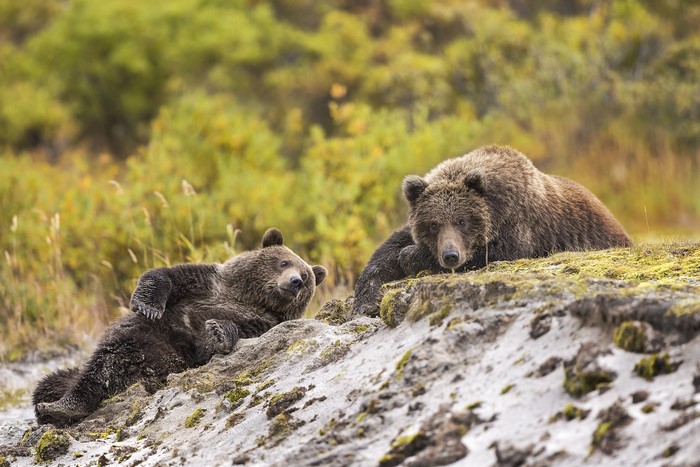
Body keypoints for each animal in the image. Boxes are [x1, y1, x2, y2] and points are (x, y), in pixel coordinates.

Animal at [33, 228, 327, 425]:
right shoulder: (209, 284)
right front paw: (147, 304)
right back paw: (57, 406)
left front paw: (218, 332)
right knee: (99, 365)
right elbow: (168, 276)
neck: (248, 297)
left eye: (305, 277)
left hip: (167, 358)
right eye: (284, 261)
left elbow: (225, 335)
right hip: (139, 337)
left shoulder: (260, 321)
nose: (294, 282)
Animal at [353, 145, 632, 315]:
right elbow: (386, 253)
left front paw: (411, 256)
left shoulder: (518, 226)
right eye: (433, 224)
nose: (450, 255)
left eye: (462, 220)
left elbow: (492, 254)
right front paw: (366, 301)